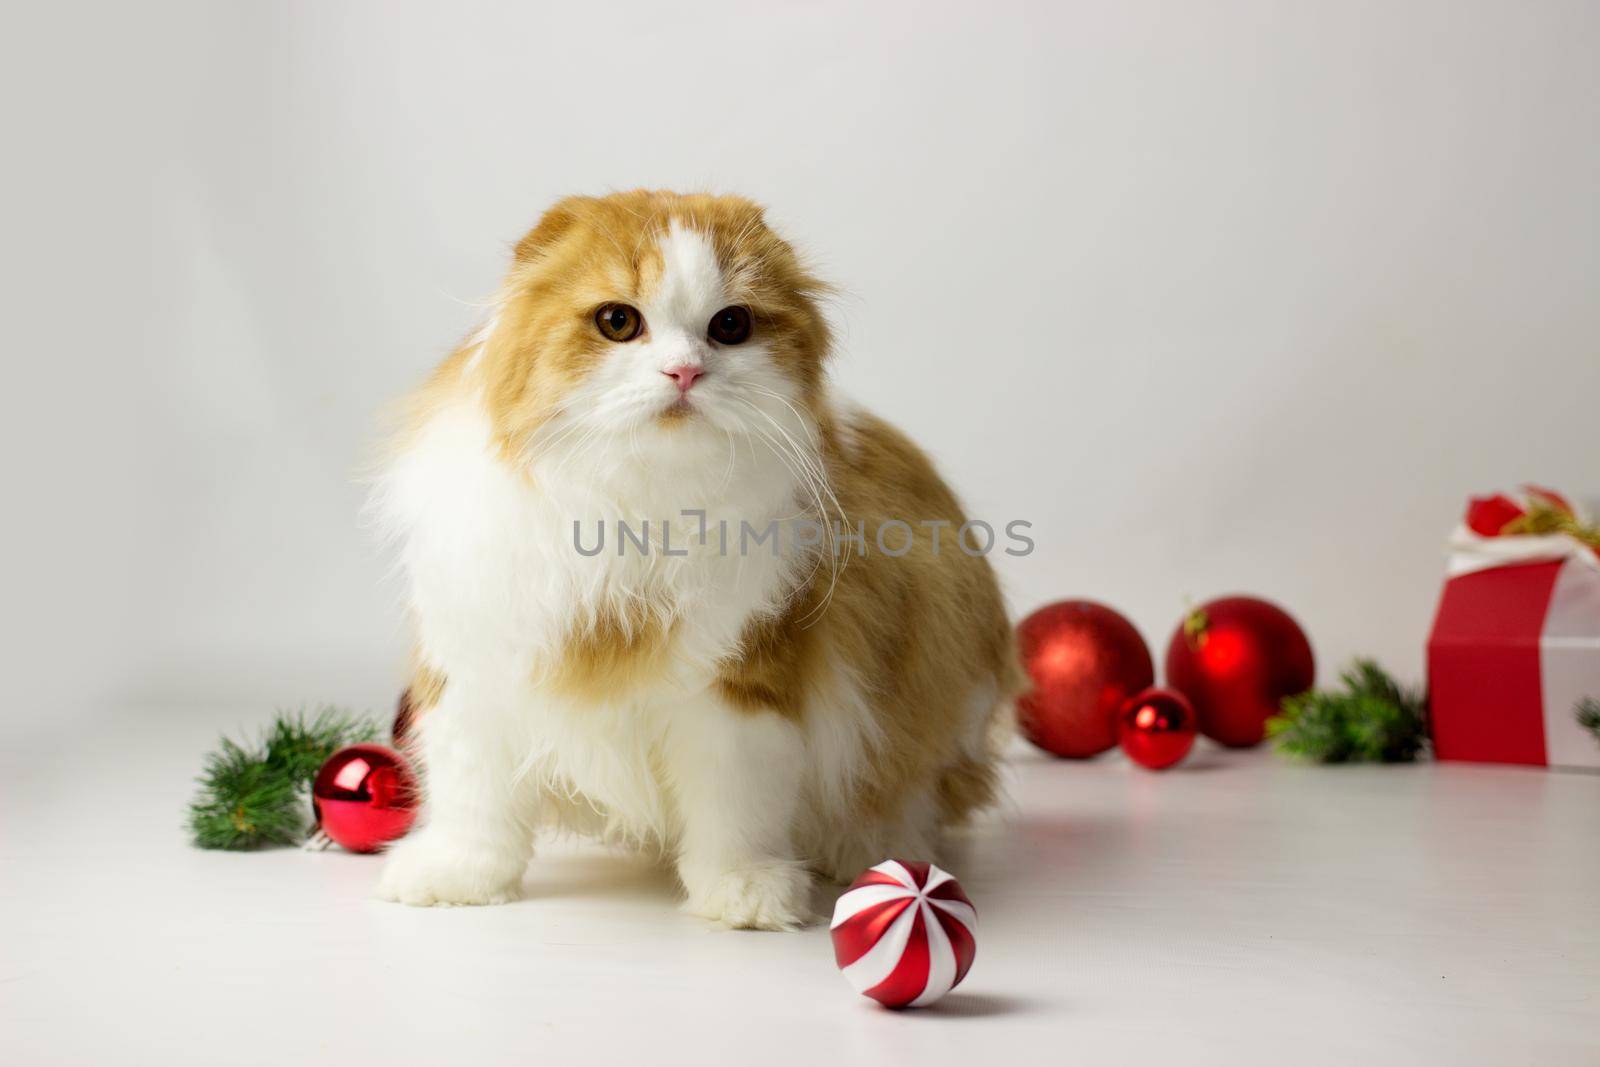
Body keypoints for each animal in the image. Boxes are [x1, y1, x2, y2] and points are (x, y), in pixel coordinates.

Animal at [372, 191, 1017, 927]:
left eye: (730, 325)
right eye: (618, 321)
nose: (684, 371)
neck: (632, 508)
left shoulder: (744, 683)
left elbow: (735, 807)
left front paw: (745, 893)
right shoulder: (475, 666)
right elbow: (472, 800)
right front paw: (457, 879)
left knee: (908, 800)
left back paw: (864, 850)